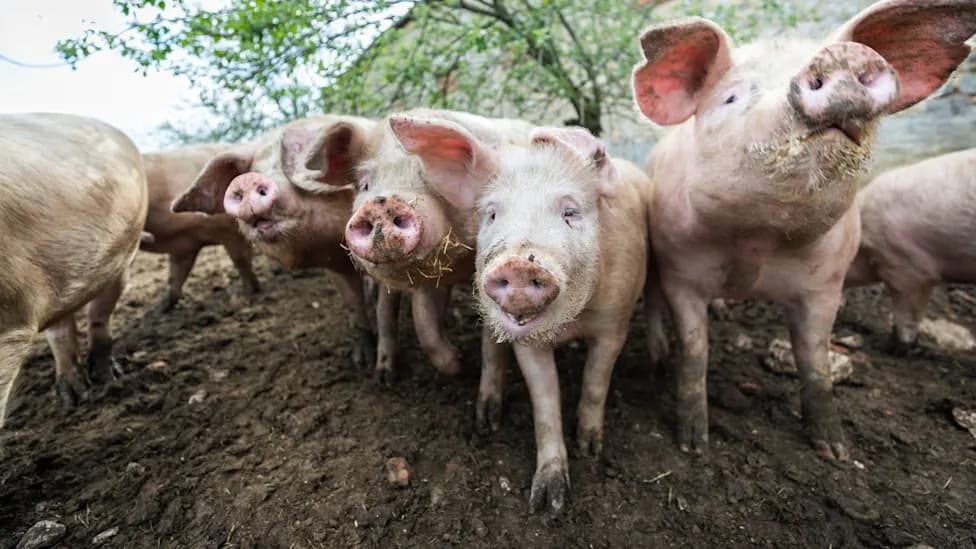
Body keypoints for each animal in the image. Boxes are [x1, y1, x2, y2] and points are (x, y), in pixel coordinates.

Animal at [0, 113, 148, 425]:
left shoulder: (11, 321)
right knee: (61, 328)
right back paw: (72, 399)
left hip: (125, 254)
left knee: (99, 314)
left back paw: (107, 379)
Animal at [141, 144, 260, 311]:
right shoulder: (184, 246)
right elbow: (175, 277)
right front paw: (158, 309)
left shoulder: (230, 231)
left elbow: (241, 261)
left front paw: (244, 297)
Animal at [172, 115, 379, 369]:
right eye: (253, 169)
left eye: (289, 161)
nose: (246, 179)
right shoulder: (336, 265)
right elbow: (353, 303)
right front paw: (362, 363)